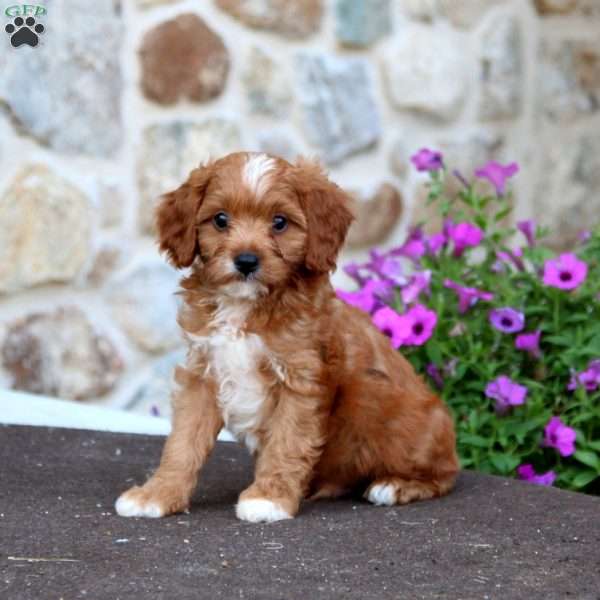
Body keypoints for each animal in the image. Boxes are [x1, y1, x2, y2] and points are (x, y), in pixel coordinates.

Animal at [115, 152, 458, 524]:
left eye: (279, 222)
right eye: (220, 220)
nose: (246, 261)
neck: (246, 307)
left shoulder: (301, 381)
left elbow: (287, 441)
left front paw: (269, 498)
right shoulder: (201, 376)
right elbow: (182, 442)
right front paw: (157, 495)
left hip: (407, 430)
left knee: (445, 474)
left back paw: (395, 485)